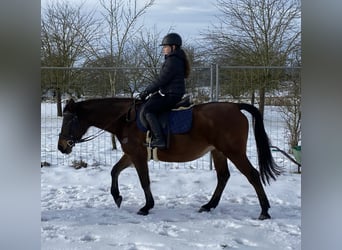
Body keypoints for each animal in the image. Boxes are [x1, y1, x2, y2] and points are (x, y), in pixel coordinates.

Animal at [56, 97, 280, 219]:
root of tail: (235, 106)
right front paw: (117, 197)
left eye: (69, 121)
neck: (126, 119)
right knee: (223, 177)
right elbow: (114, 171)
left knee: (252, 175)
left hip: (234, 152)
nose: (61, 147)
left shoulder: (138, 156)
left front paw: (146, 207)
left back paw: (264, 211)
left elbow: (144, 181)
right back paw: (209, 205)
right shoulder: (131, 154)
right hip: (218, 152)